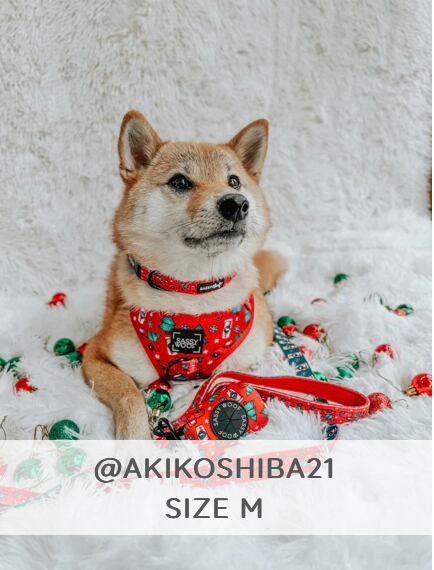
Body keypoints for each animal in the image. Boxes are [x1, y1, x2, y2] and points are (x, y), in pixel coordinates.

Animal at [83, 111, 286, 439]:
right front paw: (134, 438)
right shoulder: (96, 353)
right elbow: (128, 394)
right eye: (180, 181)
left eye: (234, 181)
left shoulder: (250, 359)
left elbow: (215, 379)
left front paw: (186, 402)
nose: (236, 203)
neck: (191, 294)